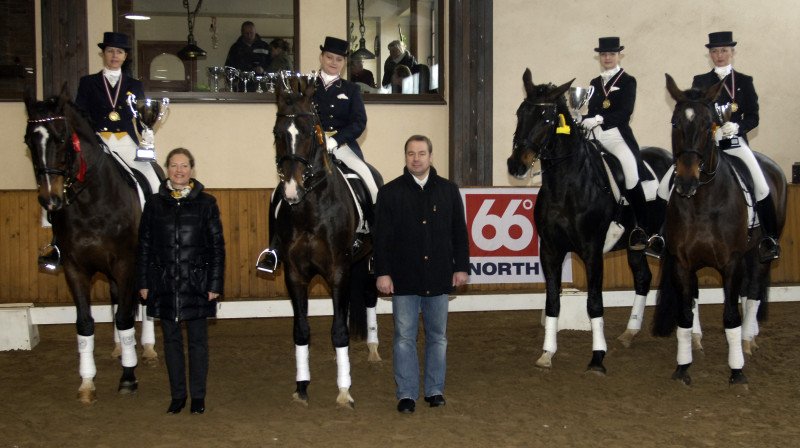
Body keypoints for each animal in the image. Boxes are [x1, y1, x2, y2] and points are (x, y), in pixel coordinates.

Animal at [23, 85, 148, 402]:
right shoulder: (74, 267)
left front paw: (128, 376)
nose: (50, 200)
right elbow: (85, 323)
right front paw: (87, 381)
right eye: (28, 141)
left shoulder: (126, 264)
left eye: (61, 138)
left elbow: (126, 318)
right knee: (117, 300)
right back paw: (118, 349)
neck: (91, 202)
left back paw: (148, 349)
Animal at [268, 74, 382, 410]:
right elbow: (301, 330)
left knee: (368, 298)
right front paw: (302, 386)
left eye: (308, 132)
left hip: (368, 264)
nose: (291, 191)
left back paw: (373, 349)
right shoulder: (295, 275)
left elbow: (340, 331)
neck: (311, 207)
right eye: (278, 133)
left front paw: (344, 390)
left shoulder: (338, 271)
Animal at [510, 68, 672, 372]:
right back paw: (630, 333)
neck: (566, 187)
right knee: (643, 278)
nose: (516, 165)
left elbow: (595, 303)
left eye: (546, 119)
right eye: (519, 113)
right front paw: (547, 354)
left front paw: (597, 357)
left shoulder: (592, 251)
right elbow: (552, 303)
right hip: (634, 246)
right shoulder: (550, 251)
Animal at [656, 74, 788, 388]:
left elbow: (730, 316)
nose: (686, 183)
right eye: (675, 123)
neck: (701, 202)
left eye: (709, 125)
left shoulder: (731, 262)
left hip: (761, 254)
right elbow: (685, 313)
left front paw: (737, 371)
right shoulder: (682, 263)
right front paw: (683, 366)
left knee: (753, 291)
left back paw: (748, 340)